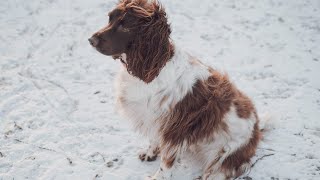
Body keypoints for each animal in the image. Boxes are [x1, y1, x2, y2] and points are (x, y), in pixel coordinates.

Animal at [89, 0, 262, 179]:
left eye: (125, 26)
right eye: (110, 18)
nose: (91, 40)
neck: (153, 70)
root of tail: (256, 128)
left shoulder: (174, 129)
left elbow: (166, 163)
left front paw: (158, 177)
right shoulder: (153, 119)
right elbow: (153, 139)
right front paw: (150, 153)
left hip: (225, 154)